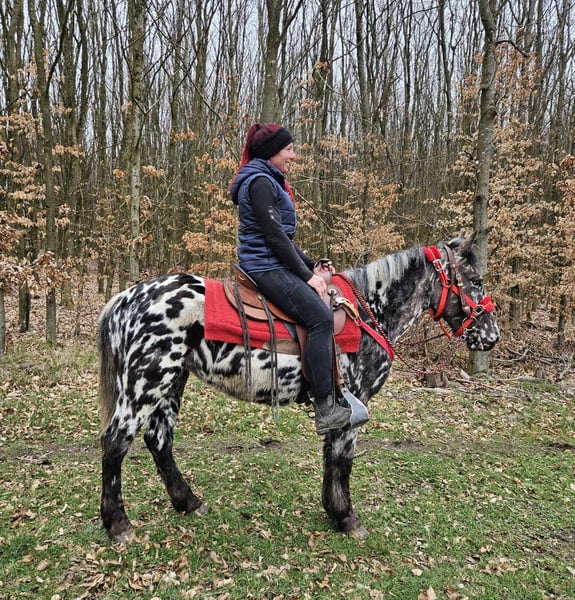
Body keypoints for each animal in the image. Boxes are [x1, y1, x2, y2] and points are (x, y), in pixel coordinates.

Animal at [98, 234, 499, 543]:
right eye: (476, 280)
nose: (492, 337)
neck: (370, 311)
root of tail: (125, 300)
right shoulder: (354, 404)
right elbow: (343, 462)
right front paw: (347, 519)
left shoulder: (337, 409)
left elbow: (331, 459)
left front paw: (333, 513)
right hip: (146, 383)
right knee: (116, 443)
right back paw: (118, 524)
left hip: (171, 382)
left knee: (159, 441)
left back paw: (188, 502)